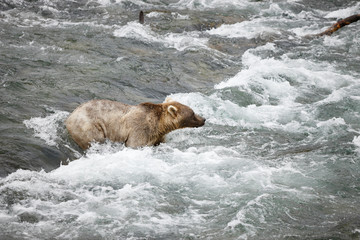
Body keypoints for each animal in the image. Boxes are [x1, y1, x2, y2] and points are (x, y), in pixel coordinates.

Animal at [64, 97, 205, 149]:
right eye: (192, 113)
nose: (203, 119)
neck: (160, 125)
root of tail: (69, 117)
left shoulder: (157, 136)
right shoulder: (140, 129)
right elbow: (134, 144)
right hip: (88, 126)